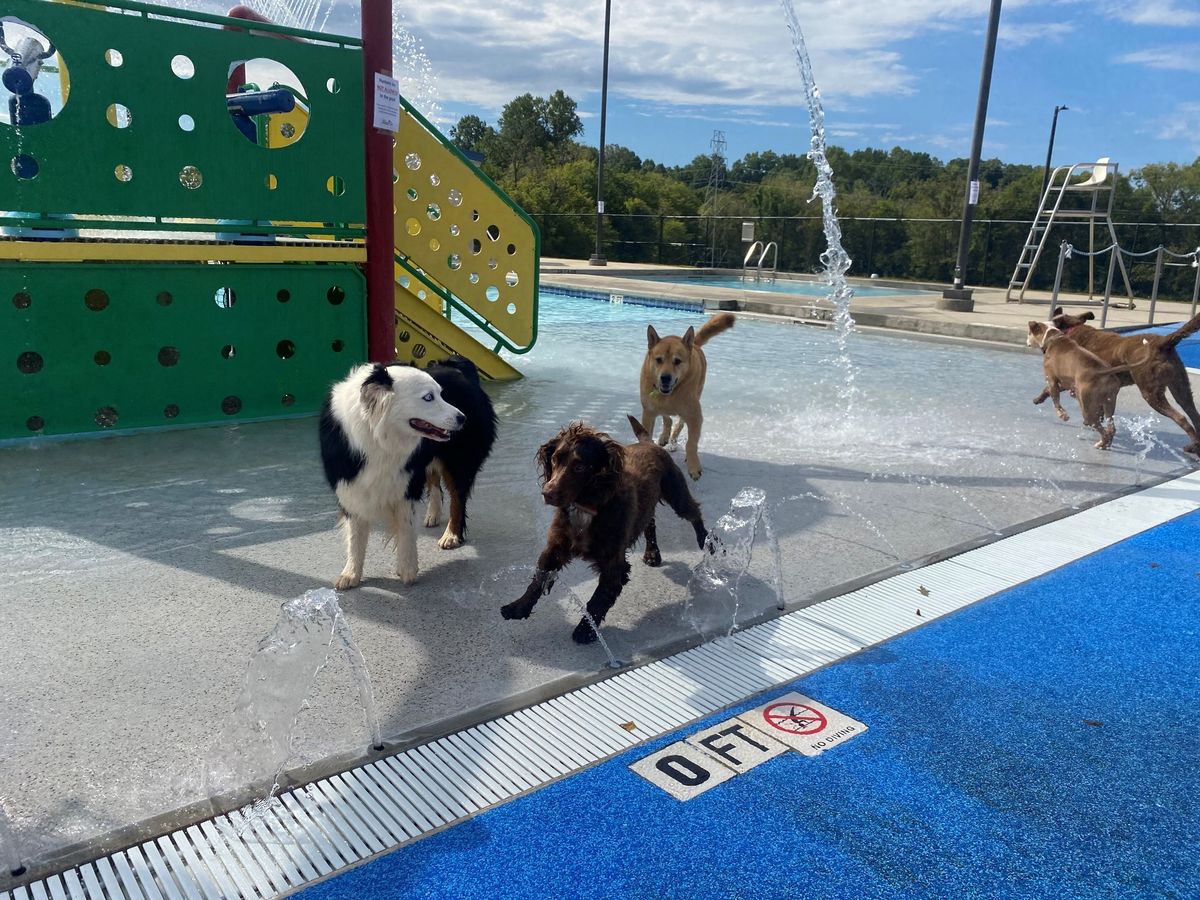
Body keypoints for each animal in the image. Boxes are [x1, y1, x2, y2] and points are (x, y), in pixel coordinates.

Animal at [319, 362, 463, 588]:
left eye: (441, 394)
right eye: (428, 397)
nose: (462, 418)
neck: (377, 437)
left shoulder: (407, 483)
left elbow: (406, 527)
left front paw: (407, 569)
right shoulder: (350, 485)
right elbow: (355, 536)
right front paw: (351, 574)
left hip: (456, 461)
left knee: (458, 497)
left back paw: (451, 535)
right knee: (434, 482)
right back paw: (433, 515)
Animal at [501, 420, 705, 643]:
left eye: (579, 467)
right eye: (554, 459)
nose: (547, 493)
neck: (587, 507)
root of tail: (649, 443)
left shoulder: (613, 563)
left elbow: (599, 598)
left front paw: (585, 630)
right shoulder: (556, 546)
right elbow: (539, 578)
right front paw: (518, 607)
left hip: (677, 494)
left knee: (694, 512)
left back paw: (706, 540)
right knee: (650, 524)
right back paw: (652, 553)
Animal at [643, 312, 734, 480]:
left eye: (677, 361)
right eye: (658, 360)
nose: (665, 378)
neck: (670, 394)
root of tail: (693, 345)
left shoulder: (695, 417)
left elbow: (691, 443)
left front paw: (693, 466)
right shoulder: (648, 413)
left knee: (679, 423)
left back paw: (672, 438)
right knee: (667, 418)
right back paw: (665, 436)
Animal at [1032, 321, 1132, 451]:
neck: (1053, 338)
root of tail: (1103, 372)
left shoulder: (1053, 380)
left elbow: (1056, 400)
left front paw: (1062, 414)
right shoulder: (1065, 383)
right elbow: (1047, 391)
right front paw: (1038, 399)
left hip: (1087, 409)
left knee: (1100, 428)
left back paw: (1101, 443)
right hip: (1109, 402)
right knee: (1111, 428)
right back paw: (1105, 444)